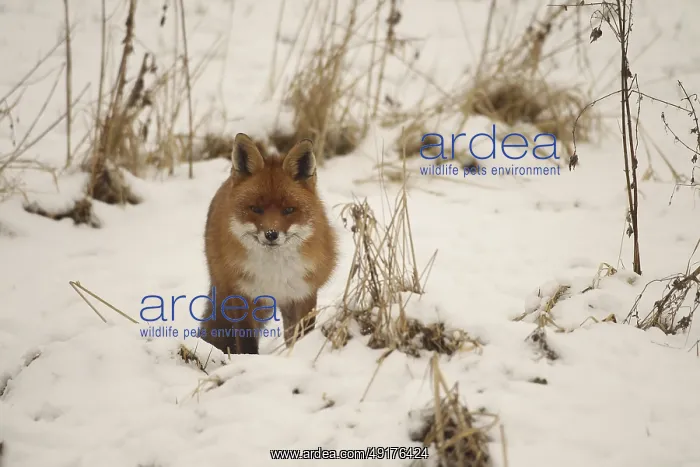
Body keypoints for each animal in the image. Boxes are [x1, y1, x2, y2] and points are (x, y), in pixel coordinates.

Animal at [200, 132, 338, 355]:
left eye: (289, 210)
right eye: (256, 209)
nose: (271, 234)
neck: (275, 273)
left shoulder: (302, 294)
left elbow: (301, 335)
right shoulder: (243, 295)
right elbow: (247, 342)